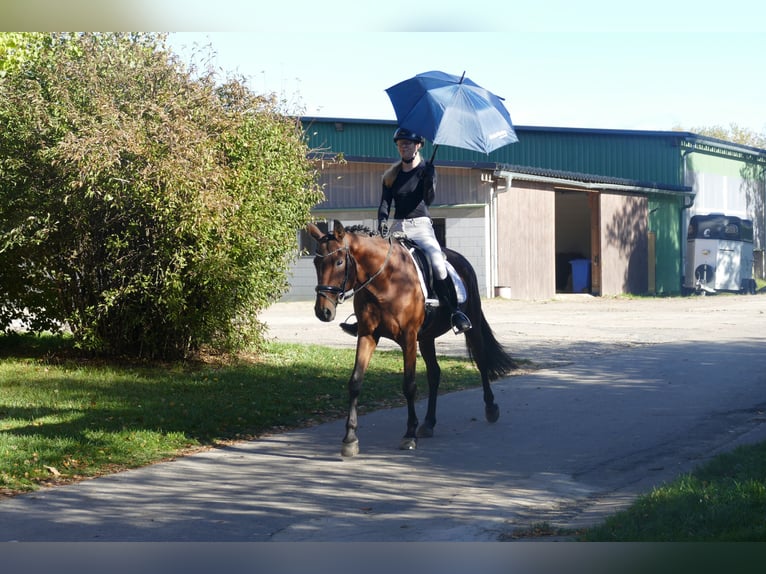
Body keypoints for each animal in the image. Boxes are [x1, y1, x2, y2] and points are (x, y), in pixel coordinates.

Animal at [308, 219, 517, 457]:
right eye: (316, 262)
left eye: (339, 262)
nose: (323, 311)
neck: (385, 281)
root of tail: (462, 260)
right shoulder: (367, 335)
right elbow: (355, 382)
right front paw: (350, 439)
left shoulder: (408, 338)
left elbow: (409, 385)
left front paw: (409, 435)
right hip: (426, 338)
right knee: (434, 374)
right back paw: (428, 423)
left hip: (471, 324)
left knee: (481, 362)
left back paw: (491, 408)